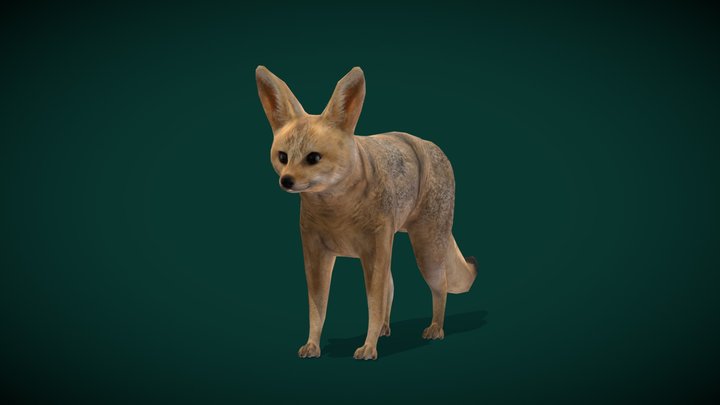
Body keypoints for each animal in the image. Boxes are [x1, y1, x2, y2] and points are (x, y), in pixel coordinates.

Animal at [256, 66, 478, 360]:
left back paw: (435, 328)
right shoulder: (316, 253)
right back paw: (385, 328)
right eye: (283, 157)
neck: (336, 212)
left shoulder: (373, 252)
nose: (286, 181)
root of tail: (430, 145)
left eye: (313, 158)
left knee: (439, 286)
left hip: (426, 251)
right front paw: (313, 344)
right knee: (392, 287)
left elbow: (373, 302)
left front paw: (369, 347)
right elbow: (318, 308)